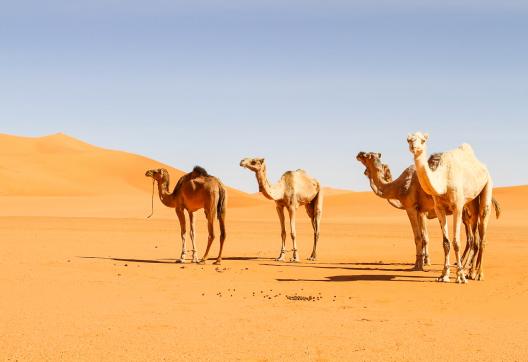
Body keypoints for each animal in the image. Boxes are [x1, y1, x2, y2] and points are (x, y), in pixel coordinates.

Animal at [354, 151, 500, 272]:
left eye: (367, 155)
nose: (359, 153)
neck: (397, 187)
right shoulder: (421, 210)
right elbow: (425, 237)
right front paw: (424, 262)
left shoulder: (411, 207)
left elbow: (419, 237)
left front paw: (418, 265)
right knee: (476, 237)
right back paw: (468, 267)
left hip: (466, 211)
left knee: (472, 238)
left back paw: (466, 266)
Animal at [408, 133, 496, 282]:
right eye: (408, 140)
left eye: (423, 140)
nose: (414, 147)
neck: (443, 180)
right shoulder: (439, 209)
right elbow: (446, 243)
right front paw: (444, 275)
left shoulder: (457, 207)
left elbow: (456, 241)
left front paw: (460, 276)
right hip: (471, 203)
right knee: (475, 235)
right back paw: (471, 272)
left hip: (488, 184)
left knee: (483, 231)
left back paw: (479, 274)